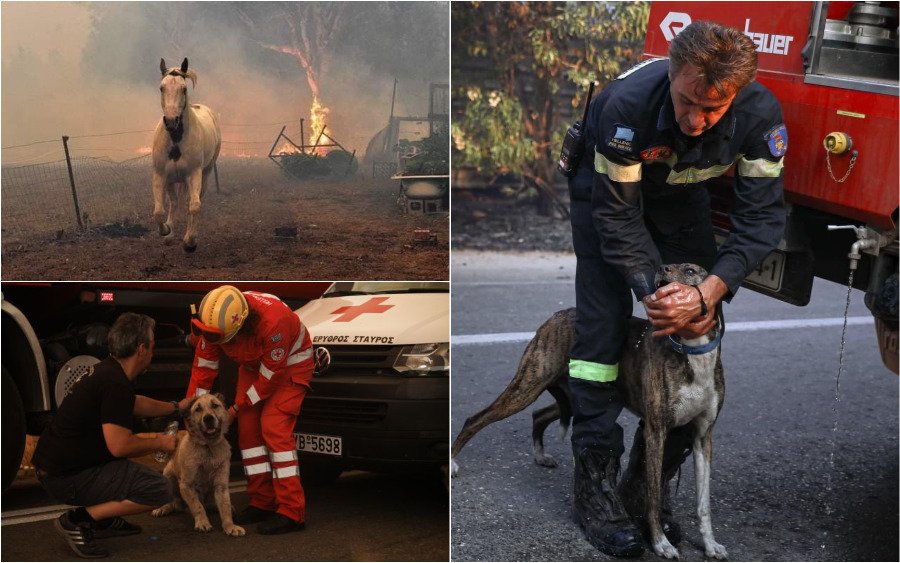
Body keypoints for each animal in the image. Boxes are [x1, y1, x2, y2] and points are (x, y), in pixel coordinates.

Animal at [151, 394, 244, 536]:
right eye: (198, 409)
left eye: (215, 405)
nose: (208, 418)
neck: (208, 447)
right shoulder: (186, 485)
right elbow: (197, 506)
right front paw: (203, 522)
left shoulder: (221, 485)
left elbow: (225, 506)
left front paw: (229, 526)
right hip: (168, 475)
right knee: (175, 503)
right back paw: (164, 508)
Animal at [152, 57, 221, 251]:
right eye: (162, 87)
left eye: (184, 89)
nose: (171, 121)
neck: (176, 141)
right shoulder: (161, 175)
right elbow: (159, 211)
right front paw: (166, 231)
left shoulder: (193, 175)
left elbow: (194, 206)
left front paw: (190, 242)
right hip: (173, 179)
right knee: (175, 202)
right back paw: (170, 234)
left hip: (205, 173)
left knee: (193, 202)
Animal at [454, 264, 728, 560]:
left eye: (690, 270)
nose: (662, 268)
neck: (692, 351)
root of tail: (559, 314)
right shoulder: (657, 432)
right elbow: (653, 497)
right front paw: (660, 543)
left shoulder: (702, 437)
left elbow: (704, 504)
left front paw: (711, 544)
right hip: (527, 386)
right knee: (475, 419)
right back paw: (453, 464)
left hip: (570, 397)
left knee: (539, 415)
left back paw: (540, 456)